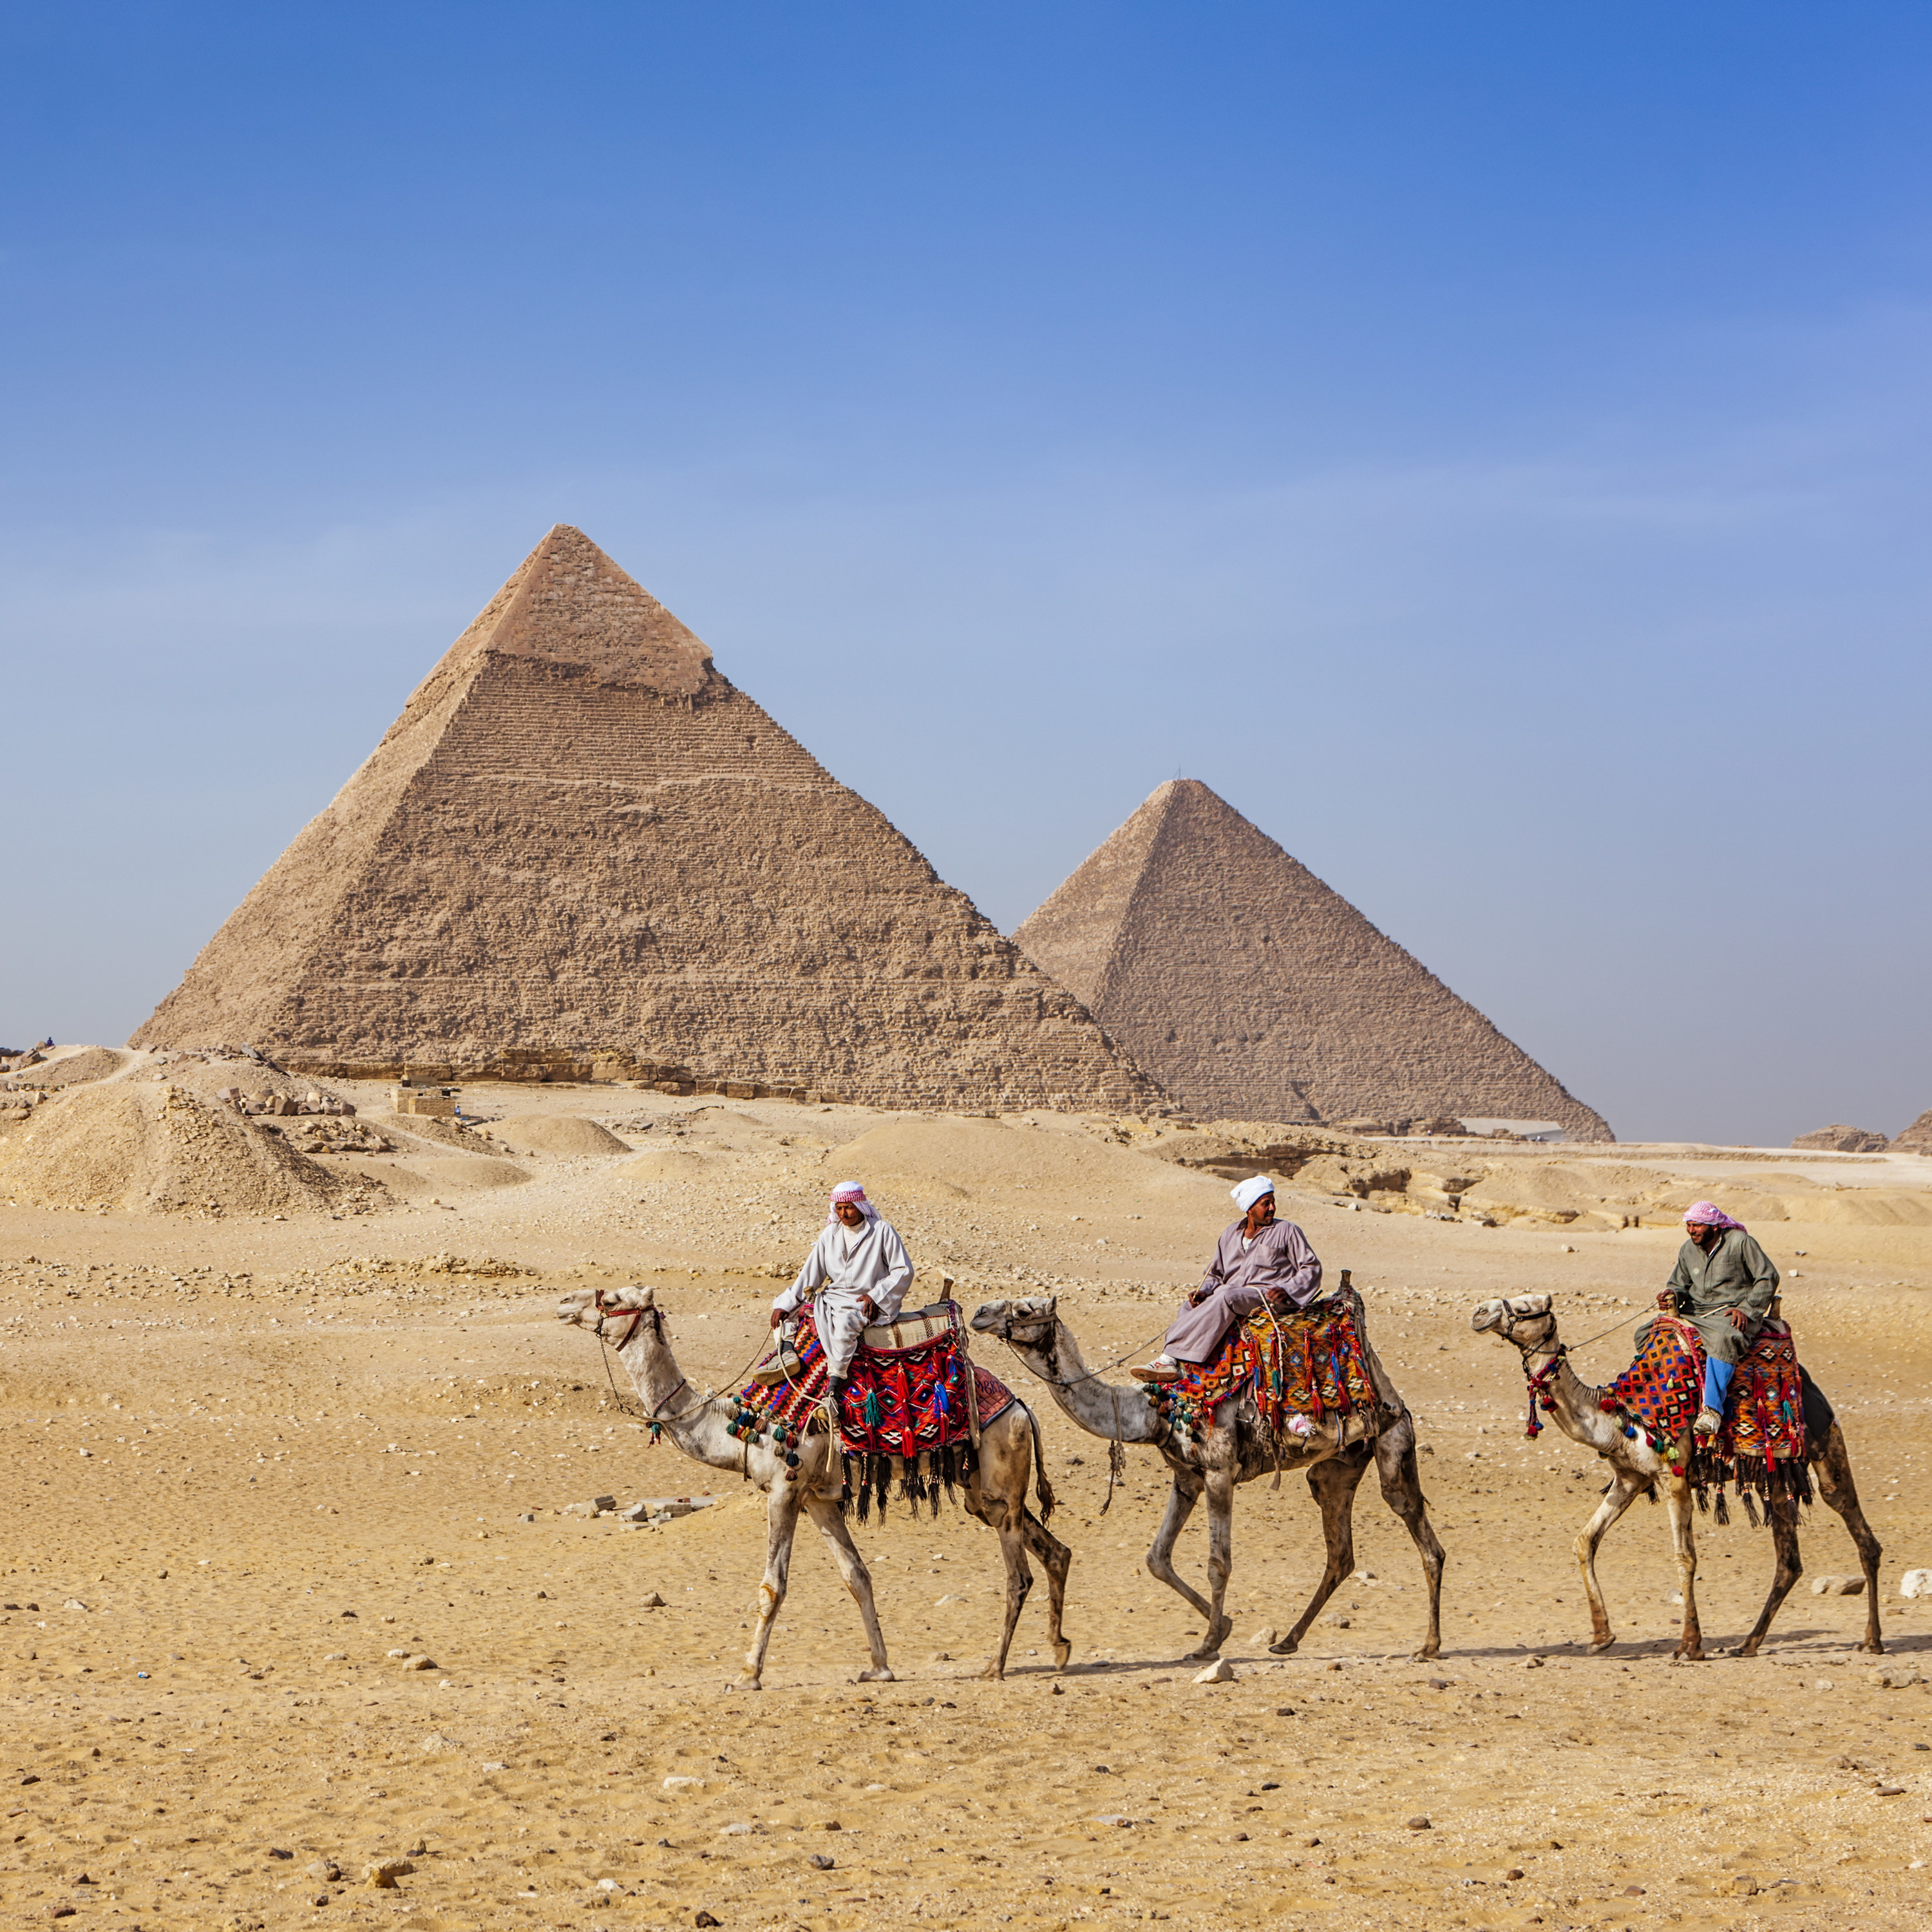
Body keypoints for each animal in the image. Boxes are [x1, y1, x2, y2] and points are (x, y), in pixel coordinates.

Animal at [556, 1291, 1074, 1685]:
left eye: (612, 1299)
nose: (564, 1303)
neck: (743, 1427)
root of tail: (1023, 1406)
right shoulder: (819, 1500)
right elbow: (857, 1577)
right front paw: (880, 1669)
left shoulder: (784, 1489)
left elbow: (773, 1587)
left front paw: (747, 1674)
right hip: (981, 1491)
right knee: (1056, 1551)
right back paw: (1059, 1650)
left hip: (999, 1476)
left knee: (1018, 1576)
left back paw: (995, 1667)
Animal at [974, 1291, 1445, 1654]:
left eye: (1024, 1310)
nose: (980, 1312)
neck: (1155, 1410)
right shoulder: (1187, 1477)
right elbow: (1156, 1558)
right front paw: (1224, 1628)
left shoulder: (1219, 1472)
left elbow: (1219, 1564)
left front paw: (1208, 1644)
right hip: (1337, 1467)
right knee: (1340, 1552)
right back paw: (1287, 1641)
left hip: (1393, 1437)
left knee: (1420, 1532)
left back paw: (1429, 1645)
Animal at [1468, 1291, 1878, 1654]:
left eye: (1524, 1307)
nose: (1479, 1312)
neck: (1623, 1416)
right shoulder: (1629, 1478)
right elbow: (1585, 1541)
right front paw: (1602, 1636)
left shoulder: (1674, 1477)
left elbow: (1685, 1558)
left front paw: (1690, 1646)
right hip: (1774, 1475)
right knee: (1788, 1560)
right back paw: (1748, 1644)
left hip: (1824, 1442)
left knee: (1855, 1527)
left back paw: (1871, 1641)